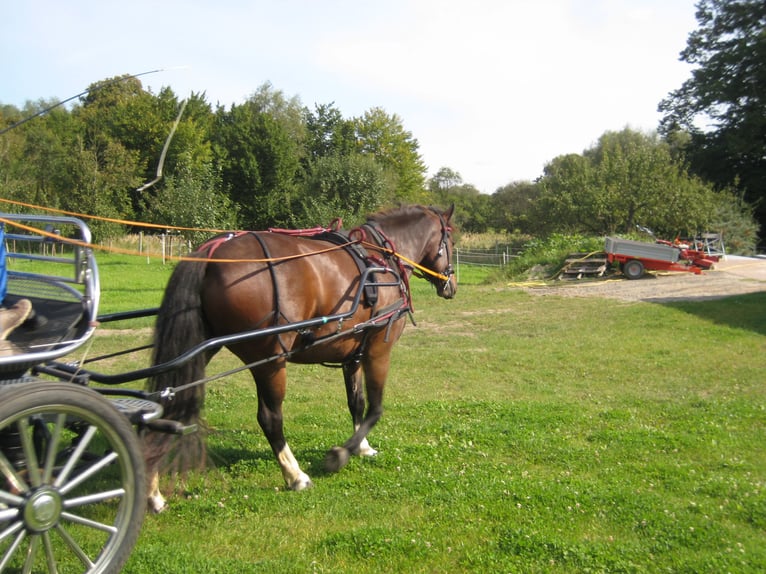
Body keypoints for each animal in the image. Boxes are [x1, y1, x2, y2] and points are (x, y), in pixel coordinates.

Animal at [143, 204, 456, 512]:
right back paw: (295, 475)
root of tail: (211, 253)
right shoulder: (379, 347)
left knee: (166, 408)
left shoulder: (354, 353)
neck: (381, 259)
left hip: (206, 348)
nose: (451, 285)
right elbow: (376, 408)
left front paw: (362, 446)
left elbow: (356, 402)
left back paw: (152, 491)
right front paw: (341, 454)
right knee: (270, 418)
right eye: (451, 241)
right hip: (270, 360)